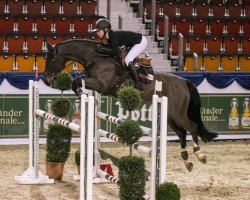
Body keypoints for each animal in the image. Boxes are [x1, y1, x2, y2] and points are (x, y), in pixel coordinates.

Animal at [42, 39, 217, 172]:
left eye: (50, 60)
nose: (45, 81)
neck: (96, 58)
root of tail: (184, 81)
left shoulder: (101, 84)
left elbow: (77, 81)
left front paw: (84, 95)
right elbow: (76, 82)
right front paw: (88, 97)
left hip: (178, 114)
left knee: (192, 127)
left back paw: (200, 155)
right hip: (170, 115)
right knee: (182, 133)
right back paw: (187, 161)